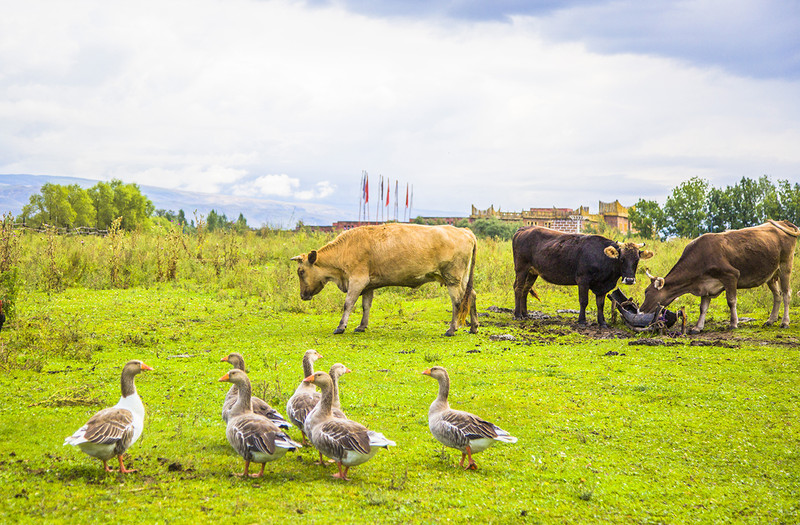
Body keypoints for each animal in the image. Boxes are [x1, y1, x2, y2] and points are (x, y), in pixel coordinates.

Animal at [294, 221, 482, 336]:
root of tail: (464, 231)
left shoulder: (357, 280)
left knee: (457, 302)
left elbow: (348, 303)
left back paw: (452, 329)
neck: (345, 248)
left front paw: (341, 327)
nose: (302, 295)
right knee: (471, 295)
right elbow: (366, 306)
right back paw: (473, 327)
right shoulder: (368, 285)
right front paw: (362, 326)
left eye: (301, 271)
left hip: (453, 278)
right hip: (463, 278)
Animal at [516, 226, 652, 326]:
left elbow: (600, 304)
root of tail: (524, 229)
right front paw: (582, 321)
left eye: (637, 260)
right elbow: (583, 301)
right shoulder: (583, 280)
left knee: (525, 290)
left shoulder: (603, 285)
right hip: (521, 269)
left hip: (532, 272)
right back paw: (517, 315)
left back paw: (525, 314)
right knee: (518, 289)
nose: (629, 280)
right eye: (622, 259)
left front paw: (602, 322)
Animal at [636, 220, 800, 332]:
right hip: (771, 274)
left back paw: (784, 322)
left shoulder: (731, 275)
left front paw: (733, 323)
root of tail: (784, 222)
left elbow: (731, 301)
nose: (640, 310)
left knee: (786, 293)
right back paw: (771, 320)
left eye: (647, 292)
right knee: (777, 295)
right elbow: (703, 308)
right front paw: (698, 327)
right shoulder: (705, 285)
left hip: (785, 266)